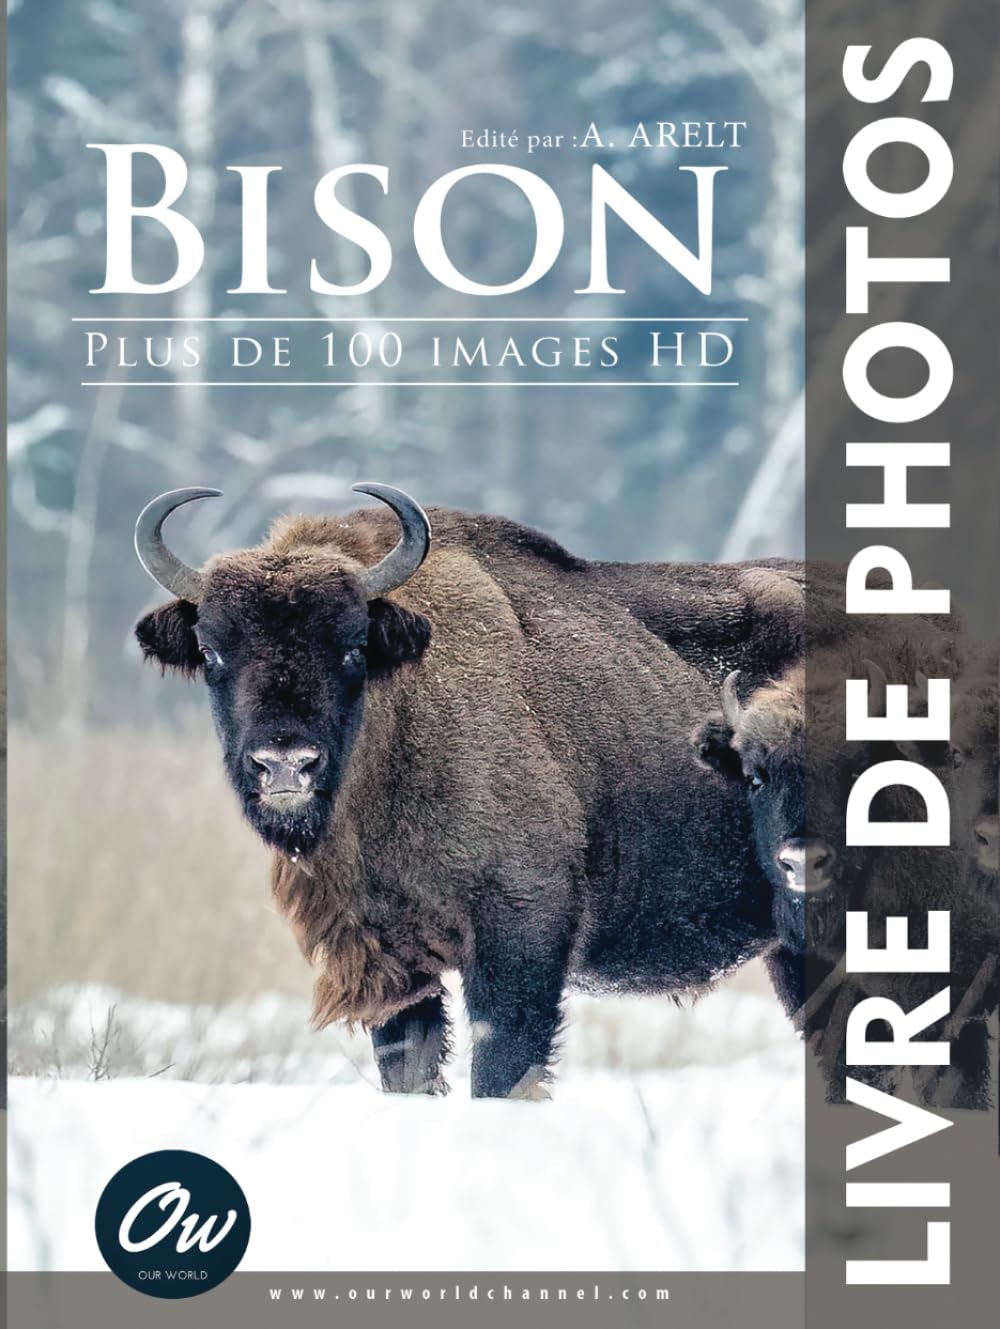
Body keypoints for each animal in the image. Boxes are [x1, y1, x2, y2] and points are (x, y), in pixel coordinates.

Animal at [134, 482, 796, 1099]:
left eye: (353, 646)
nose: (285, 764)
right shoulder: (392, 960)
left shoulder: (519, 934)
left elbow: (500, 1069)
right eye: (212, 652)